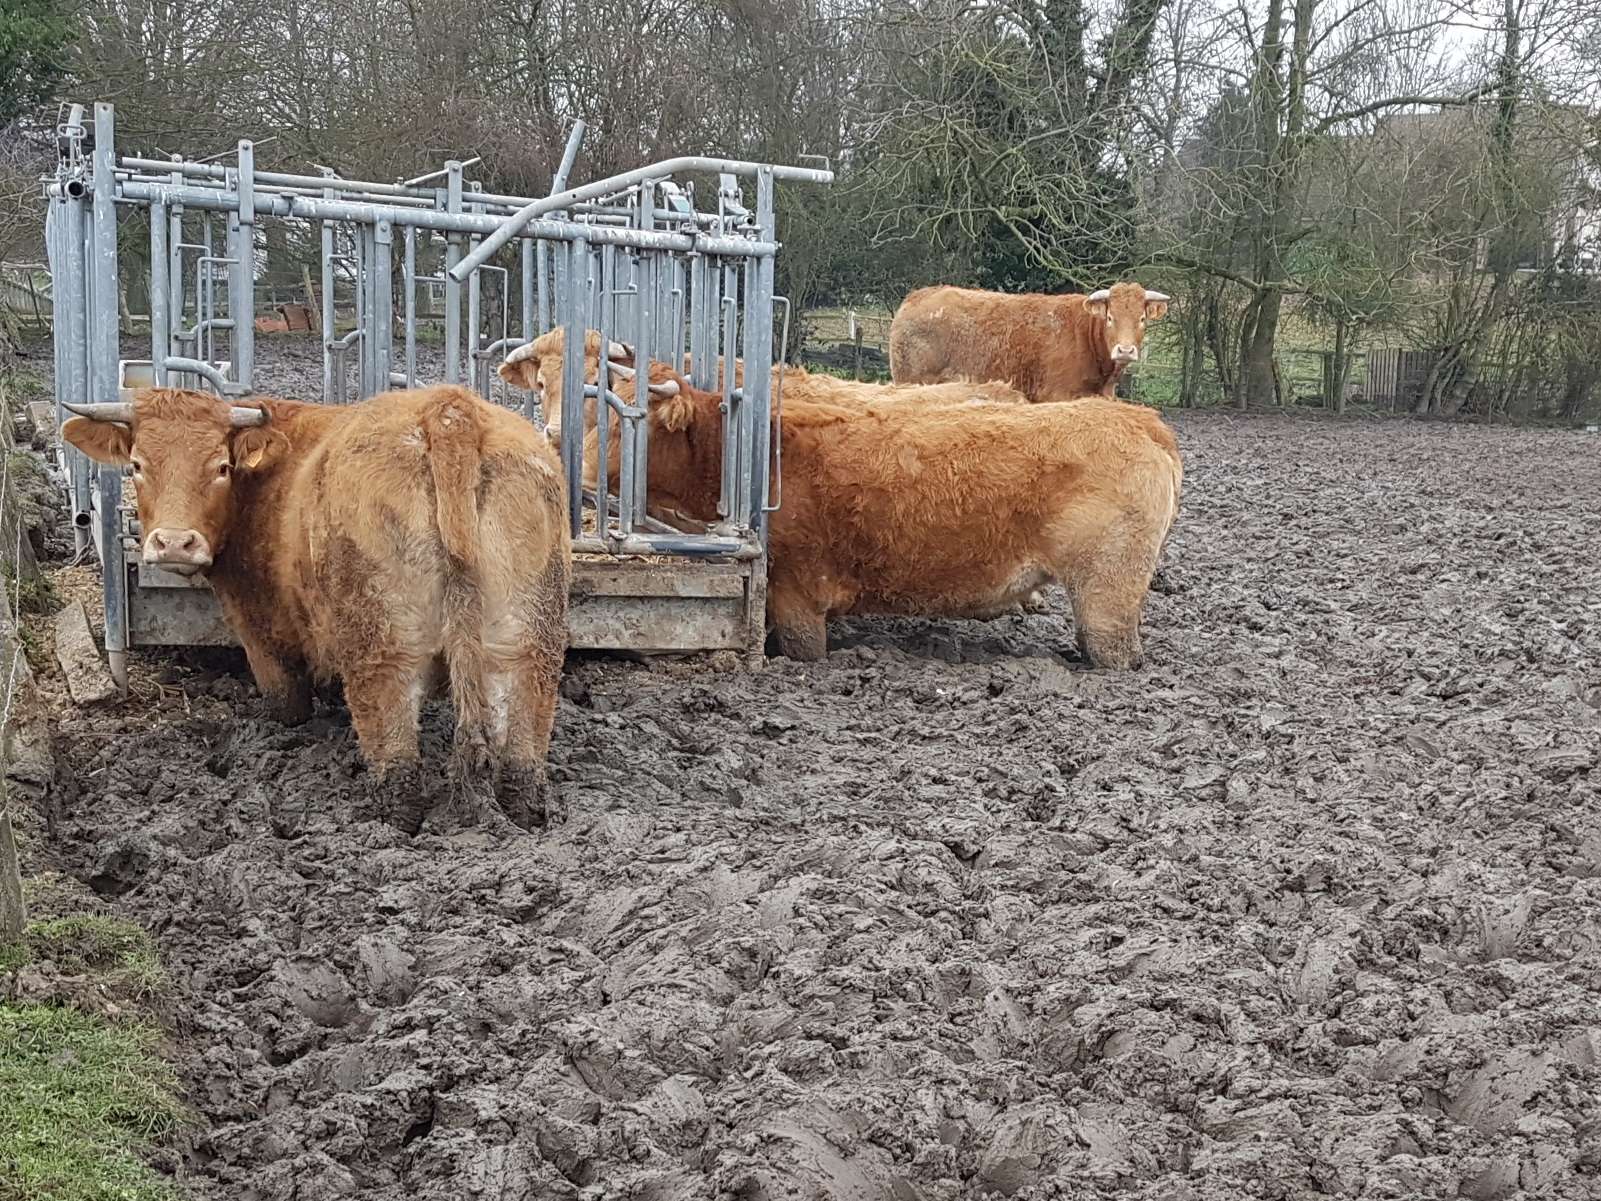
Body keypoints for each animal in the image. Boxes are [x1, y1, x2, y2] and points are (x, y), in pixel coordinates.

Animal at [61, 385, 571, 834]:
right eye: (137, 465)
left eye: (221, 466)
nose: (173, 543)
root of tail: (447, 410)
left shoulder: (260, 630)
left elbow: (287, 702)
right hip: (524, 639)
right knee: (523, 729)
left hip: (381, 643)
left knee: (394, 744)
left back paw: (393, 821)